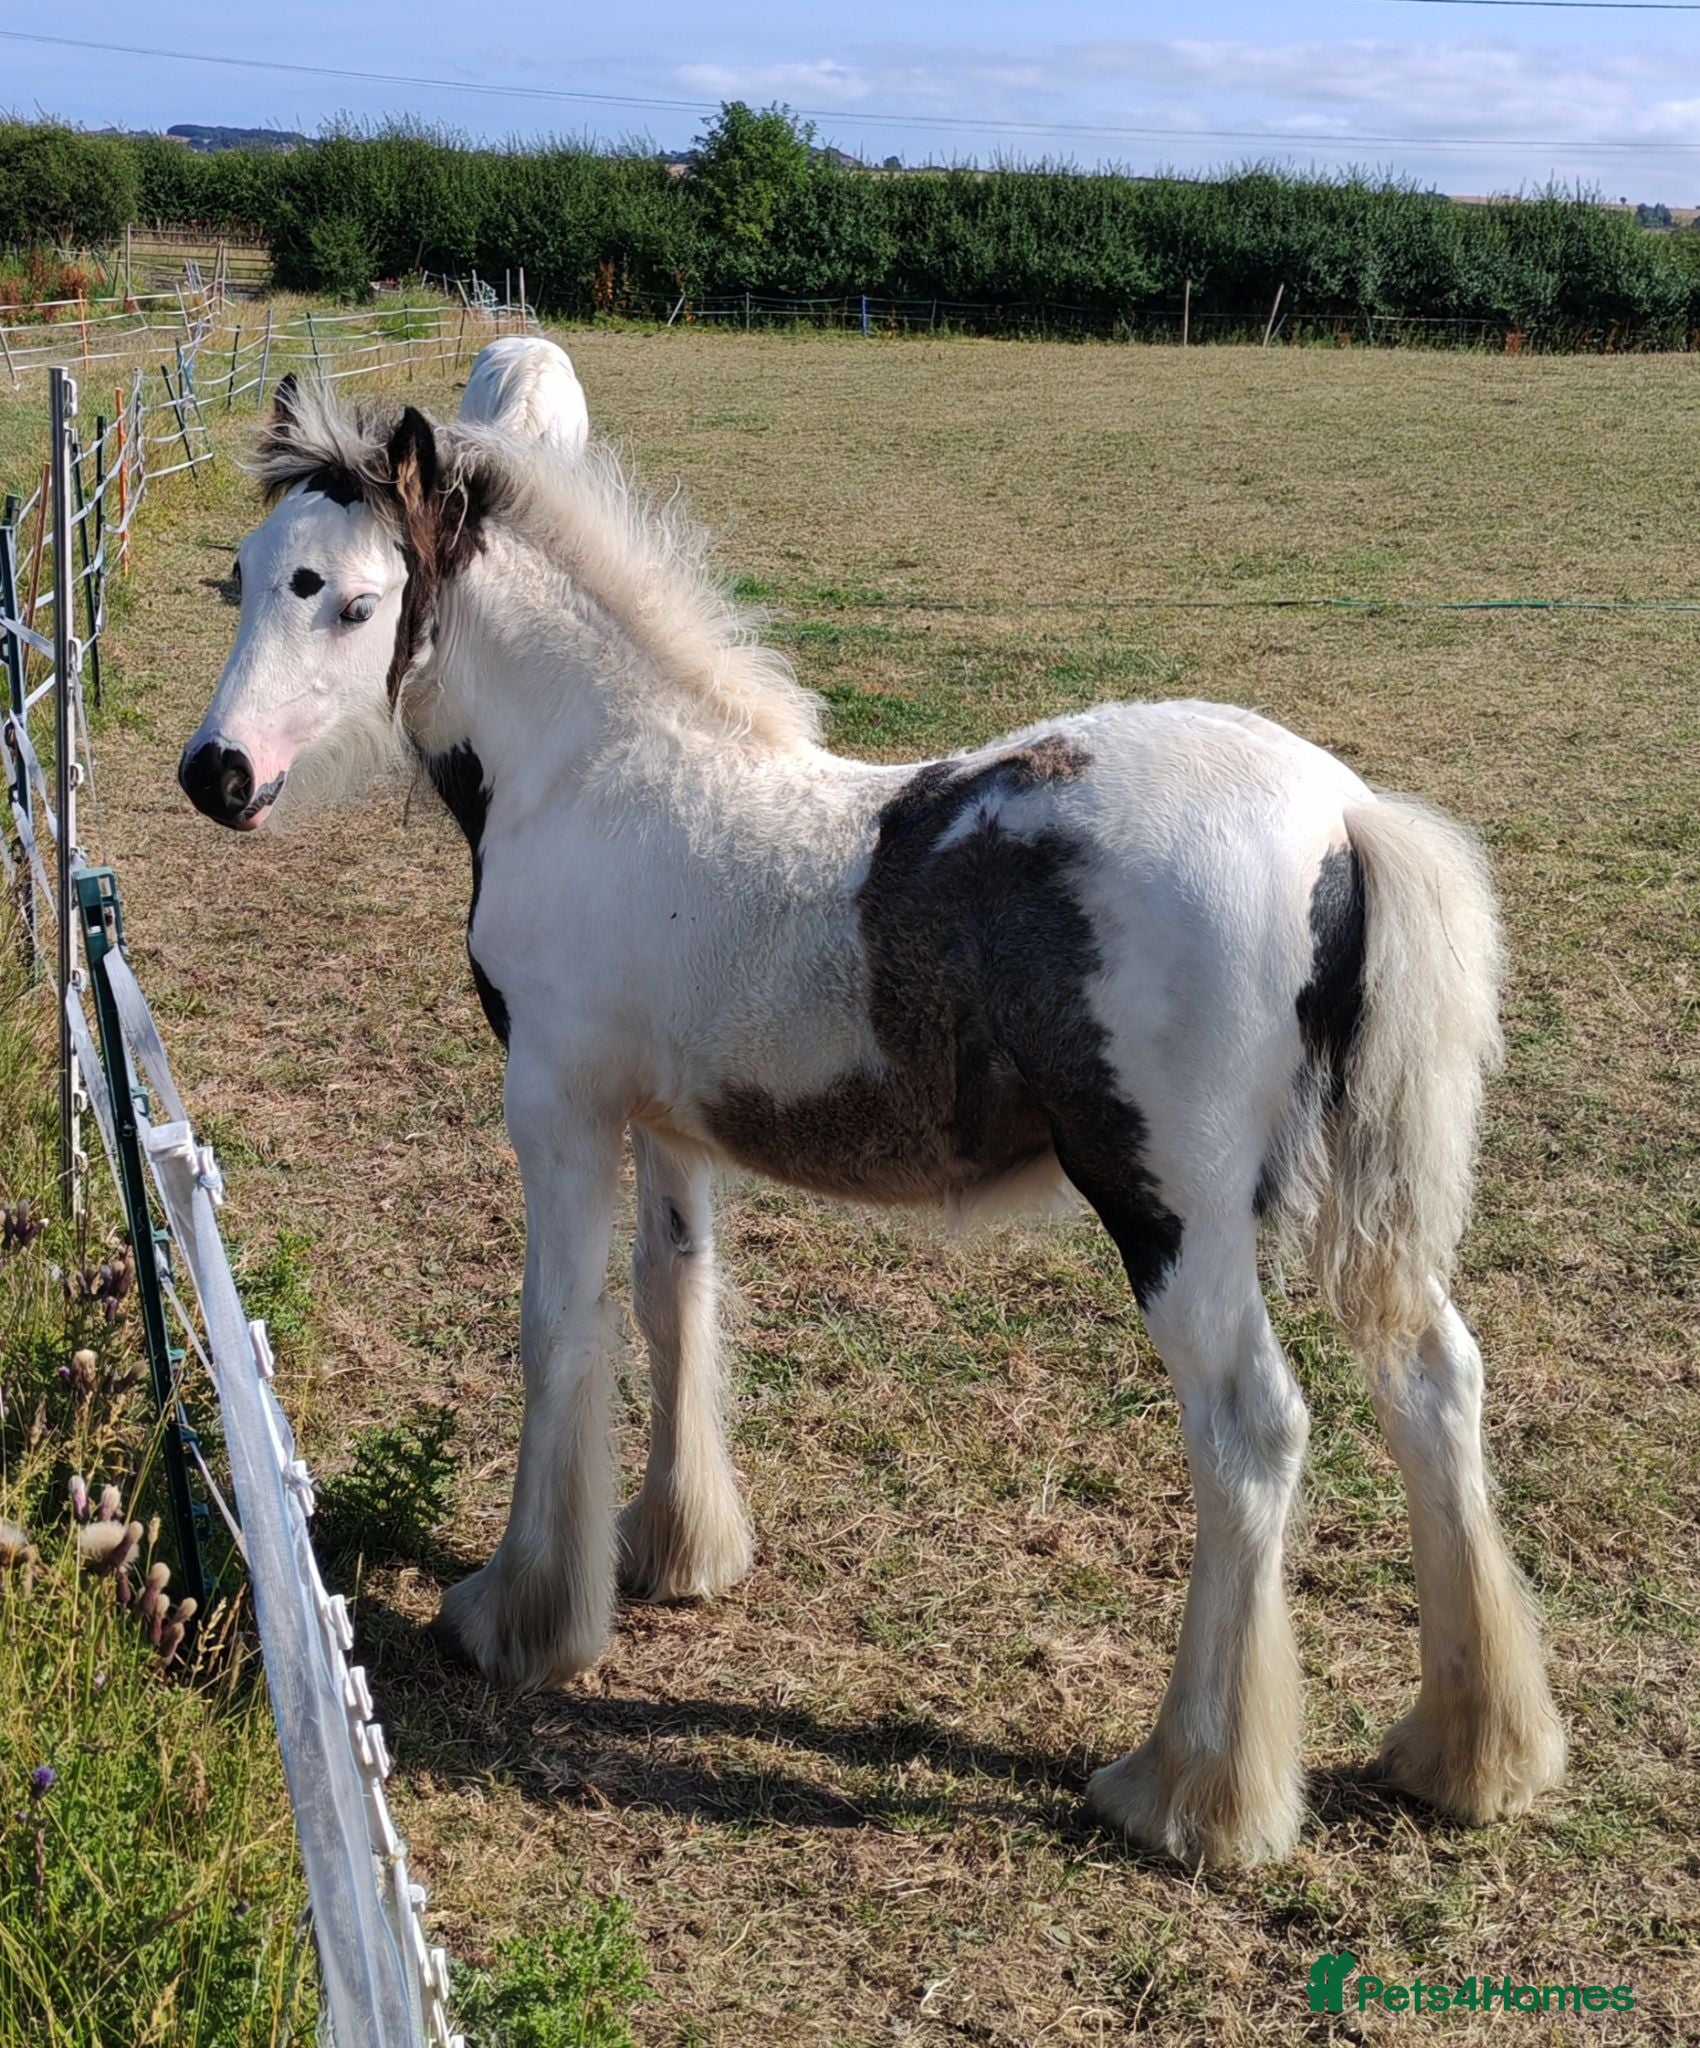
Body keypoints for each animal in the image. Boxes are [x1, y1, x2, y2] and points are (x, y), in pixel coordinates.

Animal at [175, 381, 1564, 1868]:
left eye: (350, 599)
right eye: (242, 577)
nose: (217, 775)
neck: (596, 771)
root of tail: (1345, 815)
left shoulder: (555, 1102)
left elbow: (559, 1334)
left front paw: (520, 1613)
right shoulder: (671, 1122)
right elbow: (675, 1301)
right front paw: (674, 1550)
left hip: (1168, 1202)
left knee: (1251, 1430)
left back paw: (1189, 1789)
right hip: (1367, 1202)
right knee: (1434, 1384)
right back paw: (1464, 1748)